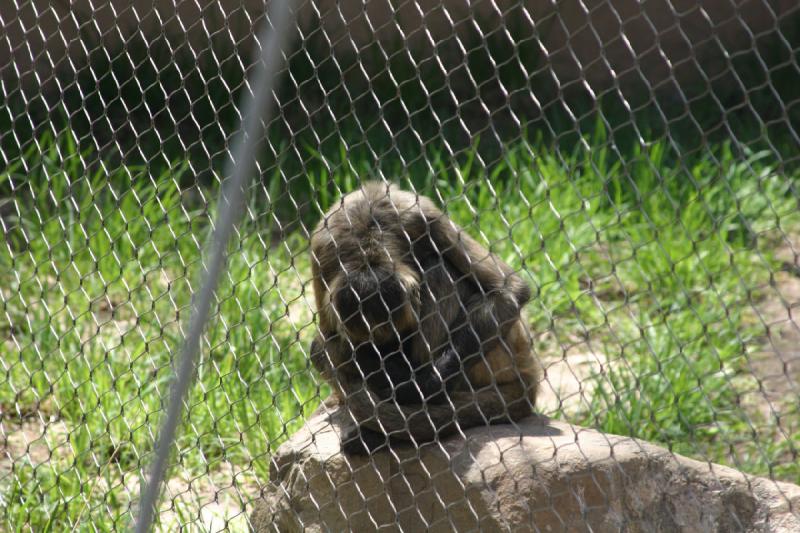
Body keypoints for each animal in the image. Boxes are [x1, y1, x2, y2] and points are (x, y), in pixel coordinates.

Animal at [310, 182, 540, 454]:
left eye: (396, 338)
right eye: (374, 343)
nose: (388, 355)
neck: (367, 228)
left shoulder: (422, 216)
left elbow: (510, 291)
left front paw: (418, 389)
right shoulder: (321, 246)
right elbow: (326, 342)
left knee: (439, 269)